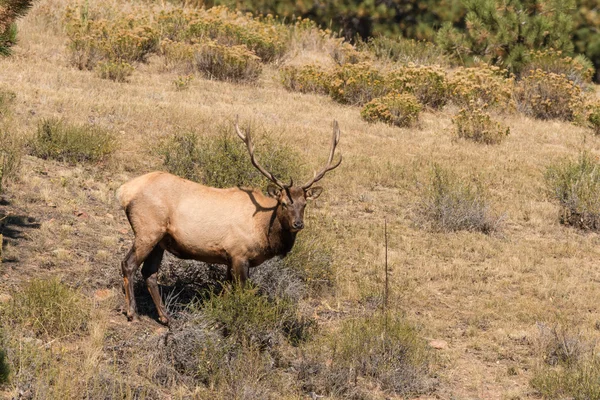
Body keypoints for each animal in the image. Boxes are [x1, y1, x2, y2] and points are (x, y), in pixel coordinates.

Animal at [116, 118, 342, 322]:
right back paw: (132, 312)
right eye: (284, 203)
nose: (298, 224)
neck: (263, 229)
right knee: (128, 264)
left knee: (150, 273)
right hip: (148, 229)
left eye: (304, 204)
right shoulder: (239, 253)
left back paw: (166, 317)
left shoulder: (227, 258)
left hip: (161, 240)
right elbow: (242, 292)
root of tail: (124, 191)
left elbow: (225, 290)